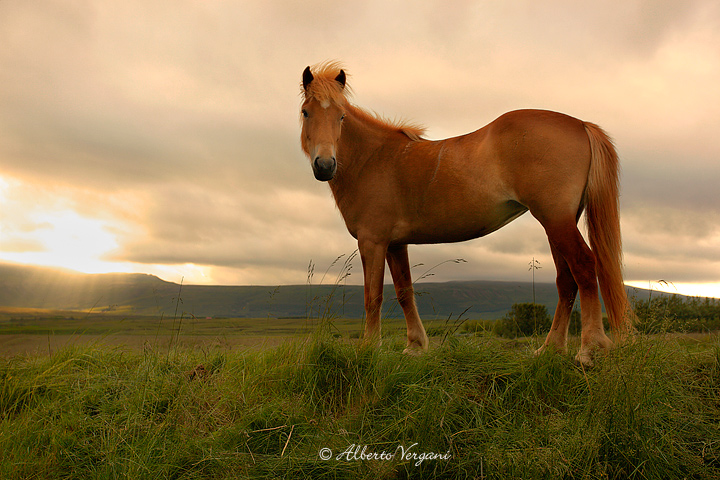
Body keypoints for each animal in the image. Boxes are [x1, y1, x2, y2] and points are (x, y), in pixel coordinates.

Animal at [299, 61, 633, 365]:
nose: (325, 165)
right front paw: (415, 346)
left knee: (585, 267)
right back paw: (550, 349)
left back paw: (588, 349)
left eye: (341, 116)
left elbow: (373, 296)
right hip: (558, 224)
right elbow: (405, 292)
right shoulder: (395, 244)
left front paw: (369, 349)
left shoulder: (372, 242)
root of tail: (580, 124)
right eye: (306, 112)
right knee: (566, 280)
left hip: (557, 221)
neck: (374, 159)